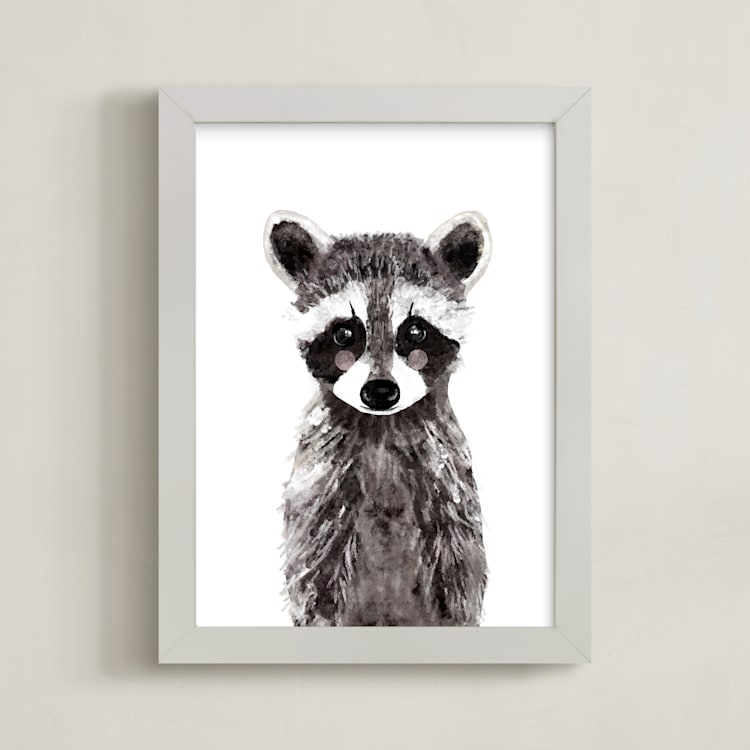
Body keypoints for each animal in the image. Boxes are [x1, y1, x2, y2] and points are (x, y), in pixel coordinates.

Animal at [264, 210, 492, 626]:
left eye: (415, 331)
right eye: (344, 333)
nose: (380, 391)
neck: (382, 425)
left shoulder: (447, 476)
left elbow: (460, 574)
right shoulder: (321, 479)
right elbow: (313, 574)